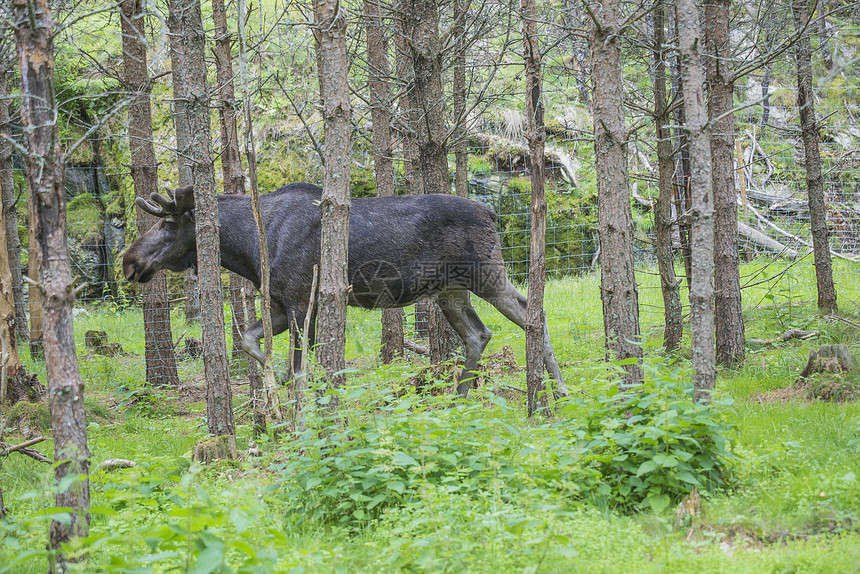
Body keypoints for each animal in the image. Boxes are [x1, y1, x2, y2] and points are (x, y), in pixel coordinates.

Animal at [121, 184, 564, 400]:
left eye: (166, 225)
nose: (128, 261)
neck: (247, 249)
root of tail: (492, 212)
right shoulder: (282, 303)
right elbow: (249, 340)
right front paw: (275, 383)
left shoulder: (301, 301)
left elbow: (299, 369)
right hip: (449, 290)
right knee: (479, 333)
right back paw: (460, 395)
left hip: (486, 274)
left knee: (534, 313)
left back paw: (557, 391)